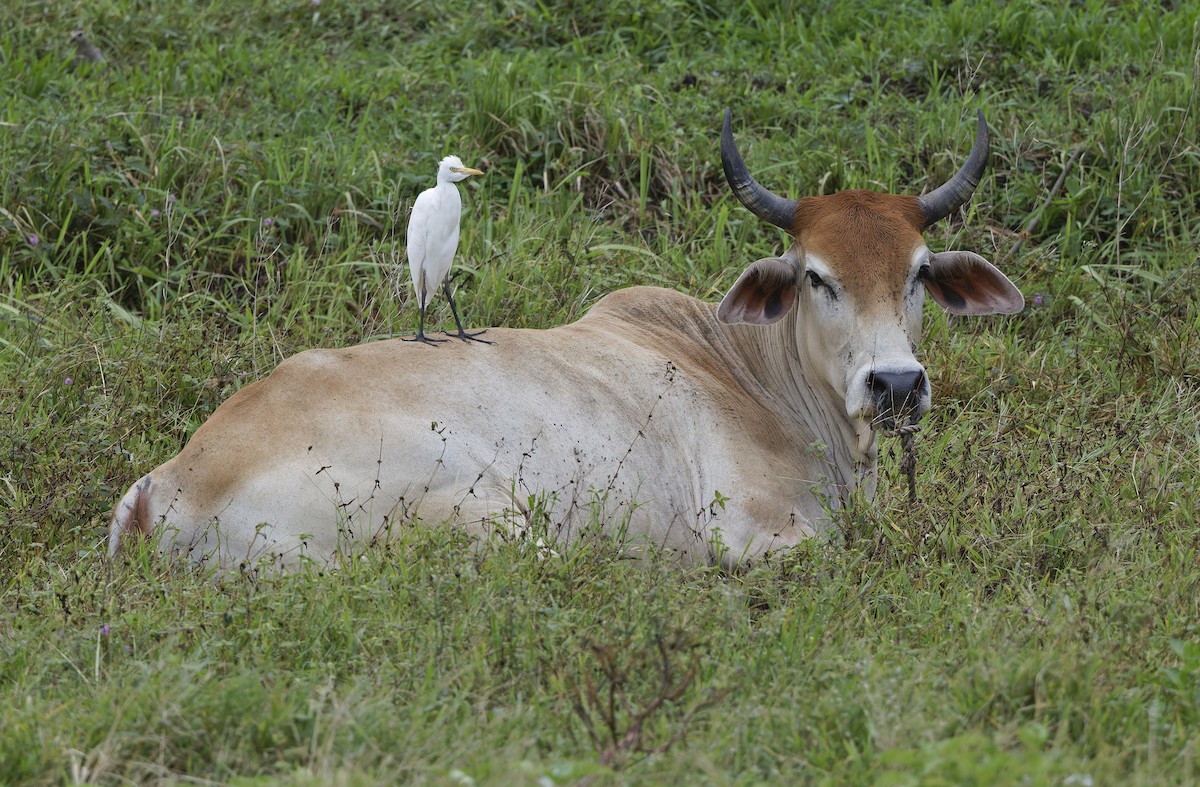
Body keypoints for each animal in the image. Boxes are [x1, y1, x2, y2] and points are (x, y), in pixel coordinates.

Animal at [109, 109, 1023, 570]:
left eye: (917, 271)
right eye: (816, 277)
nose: (896, 384)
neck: (755, 375)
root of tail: (165, 483)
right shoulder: (756, 534)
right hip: (505, 526)